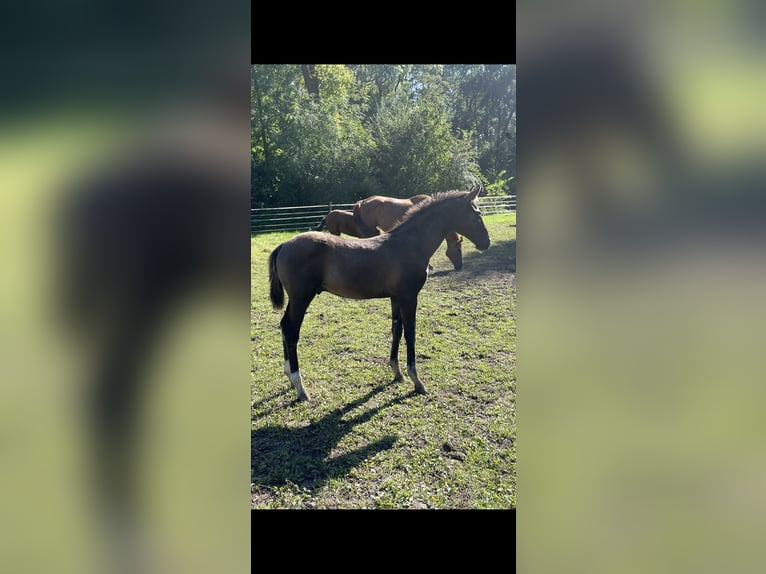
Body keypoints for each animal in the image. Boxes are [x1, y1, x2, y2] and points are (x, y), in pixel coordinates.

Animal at [270, 191, 488, 402]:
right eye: (477, 216)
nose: (486, 243)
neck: (409, 244)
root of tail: (284, 245)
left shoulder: (396, 297)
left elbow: (396, 330)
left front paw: (397, 373)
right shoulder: (409, 296)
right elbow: (410, 333)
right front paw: (417, 381)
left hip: (296, 300)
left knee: (284, 325)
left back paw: (289, 376)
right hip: (301, 299)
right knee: (291, 331)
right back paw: (300, 387)